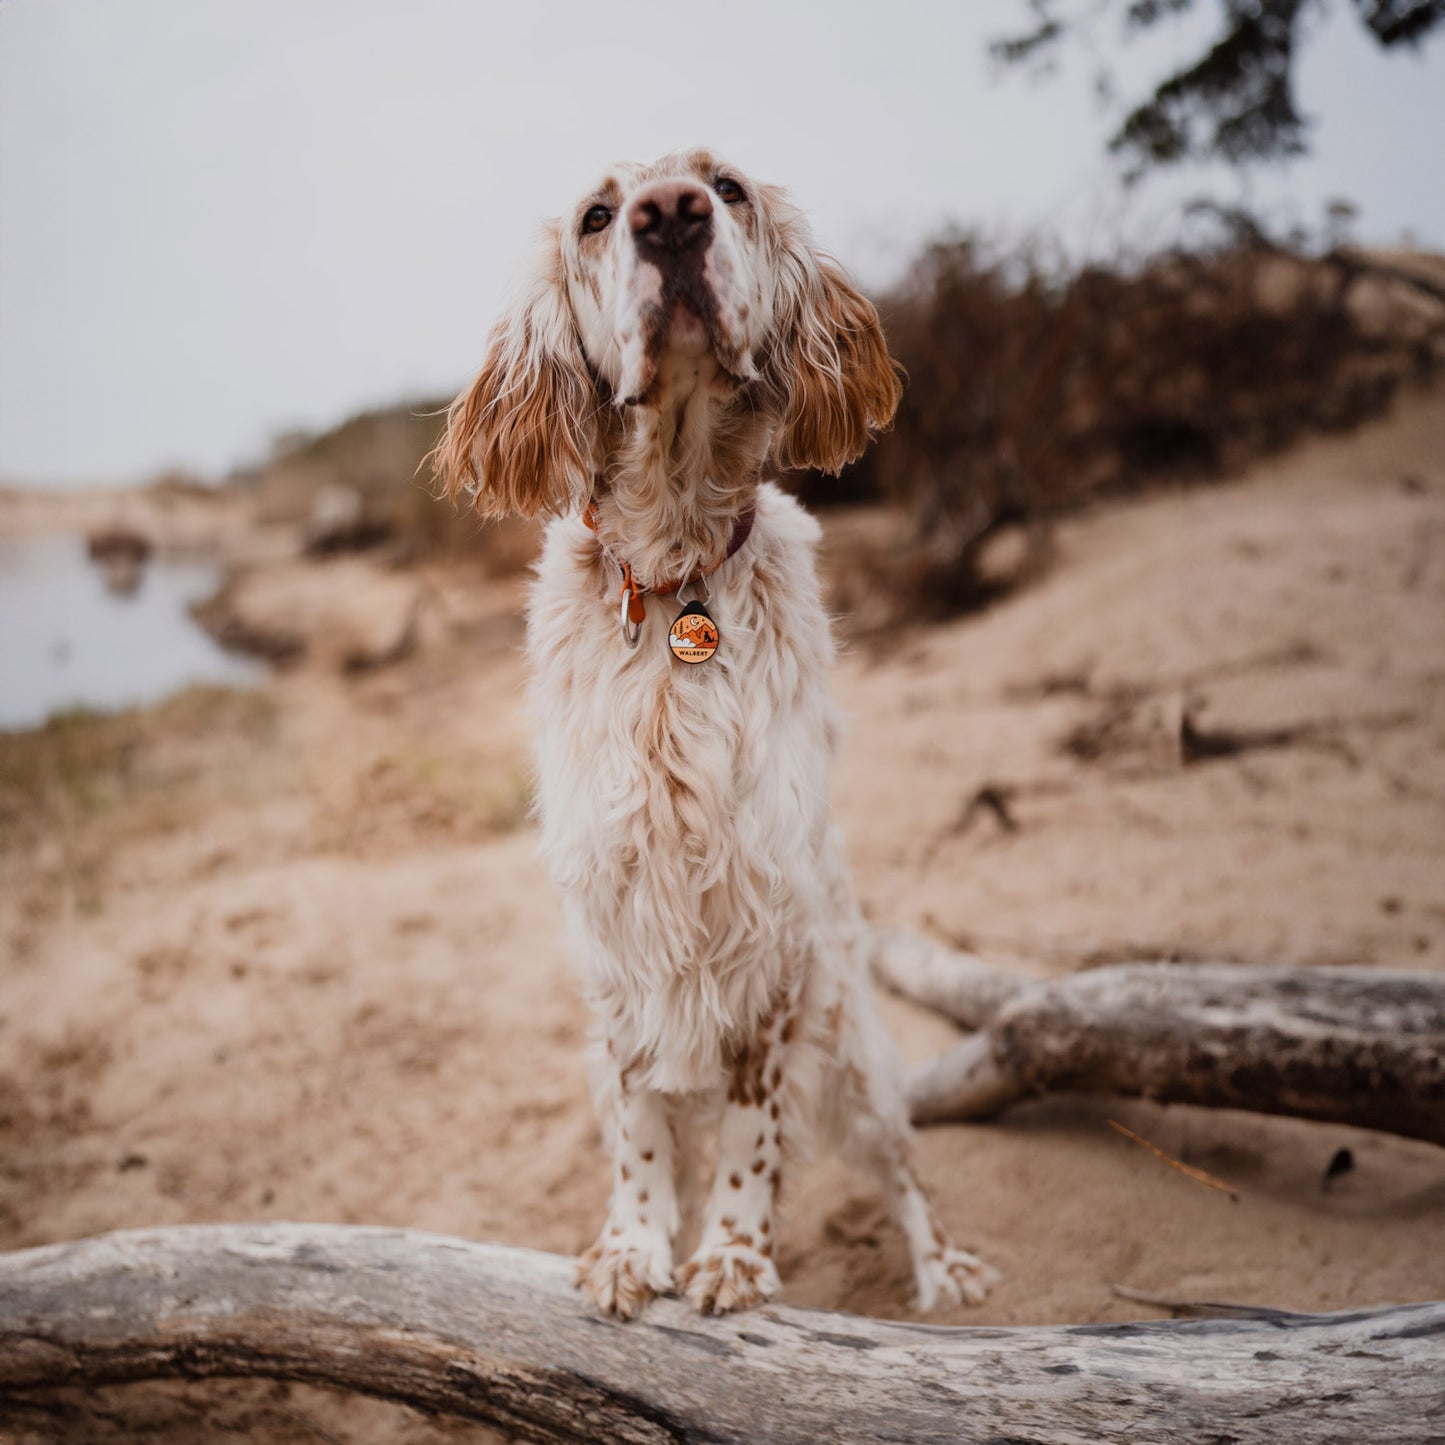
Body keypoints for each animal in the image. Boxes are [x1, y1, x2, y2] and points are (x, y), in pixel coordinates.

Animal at [433, 149, 999, 1323]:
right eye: (598, 217)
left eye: (726, 188)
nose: (671, 218)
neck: (672, 578)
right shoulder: (616, 936)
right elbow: (644, 1127)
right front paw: (633, 1242)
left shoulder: (770, 927)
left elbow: (749, 1127)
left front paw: (733, 1253)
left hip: (853, 1049)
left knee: (901, 1162)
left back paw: (941, 1264)